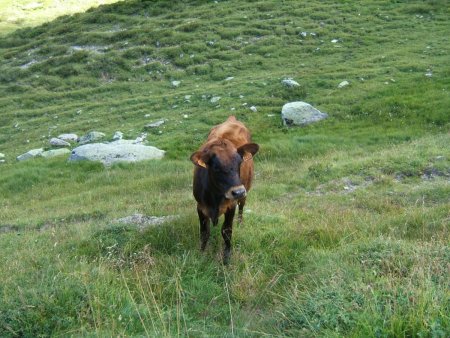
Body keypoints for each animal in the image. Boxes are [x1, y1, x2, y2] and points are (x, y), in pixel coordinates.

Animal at [191, 116, 260, 264]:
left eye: (240, 163)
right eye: (216, 167)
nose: (238, 191)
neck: (215, 197)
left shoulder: (231, 205)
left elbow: (226, 231)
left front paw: (227, 258)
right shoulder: (200, 206)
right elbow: (204, 232)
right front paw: (201, 254)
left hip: (245, 191)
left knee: (242, 207)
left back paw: (240, 222)